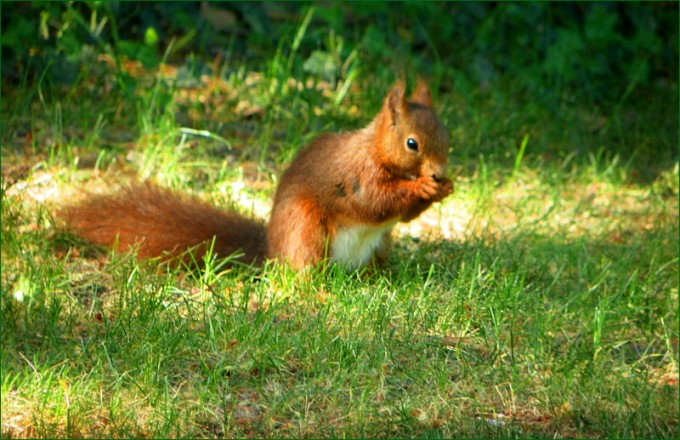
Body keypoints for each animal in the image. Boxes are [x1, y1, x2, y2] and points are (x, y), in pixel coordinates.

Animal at [60, 81, 453, 271]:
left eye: (447, 138)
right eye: (412, 143)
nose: (439, 172)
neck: (376, 150)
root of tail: (271, 251)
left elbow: (400, 216)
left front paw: (444, 188)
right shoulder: (357, 174)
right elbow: (373, 201)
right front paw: (422, 186)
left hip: (380, 244)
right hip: (305, 229)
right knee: (302, 273)